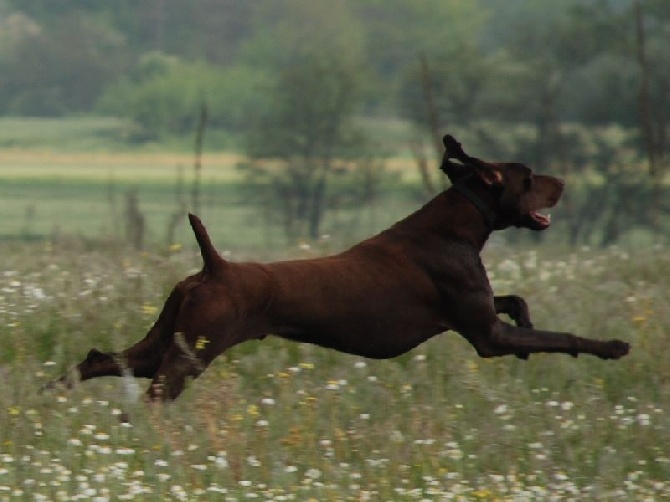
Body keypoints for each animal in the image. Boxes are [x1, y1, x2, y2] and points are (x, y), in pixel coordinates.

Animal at [46, 135, 632, 402]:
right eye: (529, 177)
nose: (565, 182)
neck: (456, 225)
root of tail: (214, 266)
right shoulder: (487, 336)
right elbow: (562, 335)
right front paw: (611, 346)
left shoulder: (484, 316)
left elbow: (518, 304)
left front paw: (530, 321)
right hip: (192, 352)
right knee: (146, 398)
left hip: (165, 340)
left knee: (103, 360)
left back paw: (54, 393)